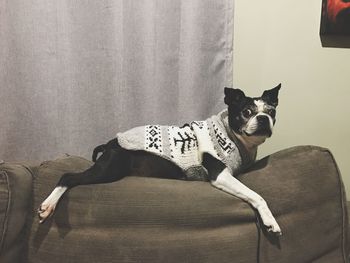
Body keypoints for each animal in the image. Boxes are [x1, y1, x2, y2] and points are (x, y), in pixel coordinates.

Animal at [38, 85, 284, 237]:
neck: (232, 135)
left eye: (271, 111)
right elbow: (257, 196)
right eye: (246, 112)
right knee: (68, 177)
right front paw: (270, 221)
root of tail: (110, 143)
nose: (263, 118)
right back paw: (48, 206)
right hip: (108, 170)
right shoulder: (221, 175)